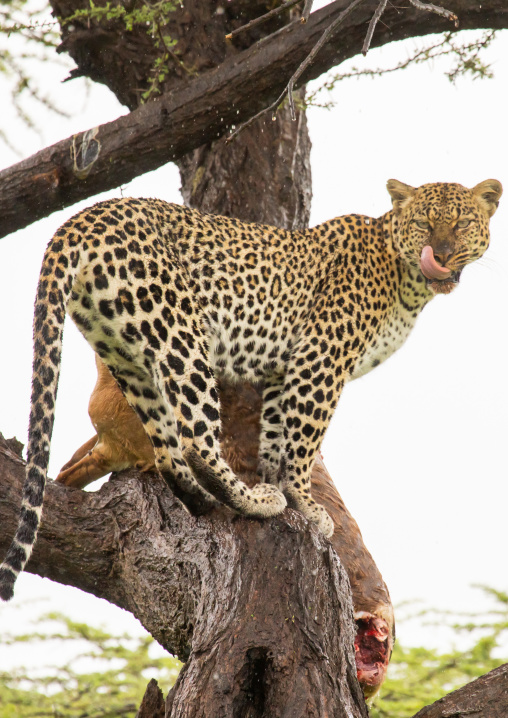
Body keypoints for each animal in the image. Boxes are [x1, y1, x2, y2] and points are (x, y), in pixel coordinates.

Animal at [0, 178, 501, 601]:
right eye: (424, 224)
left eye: (460, 224)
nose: (441, 252)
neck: (407, 281)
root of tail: (78, 220)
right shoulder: (321, 360)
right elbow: (304, 443)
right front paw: (304, 504)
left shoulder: (285, 370)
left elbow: (278, 436)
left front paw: (280, 489)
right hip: (180, 332)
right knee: (197, 442)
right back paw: (249, 501)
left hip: (126, 352)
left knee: (167, 449)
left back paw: (207, 502)